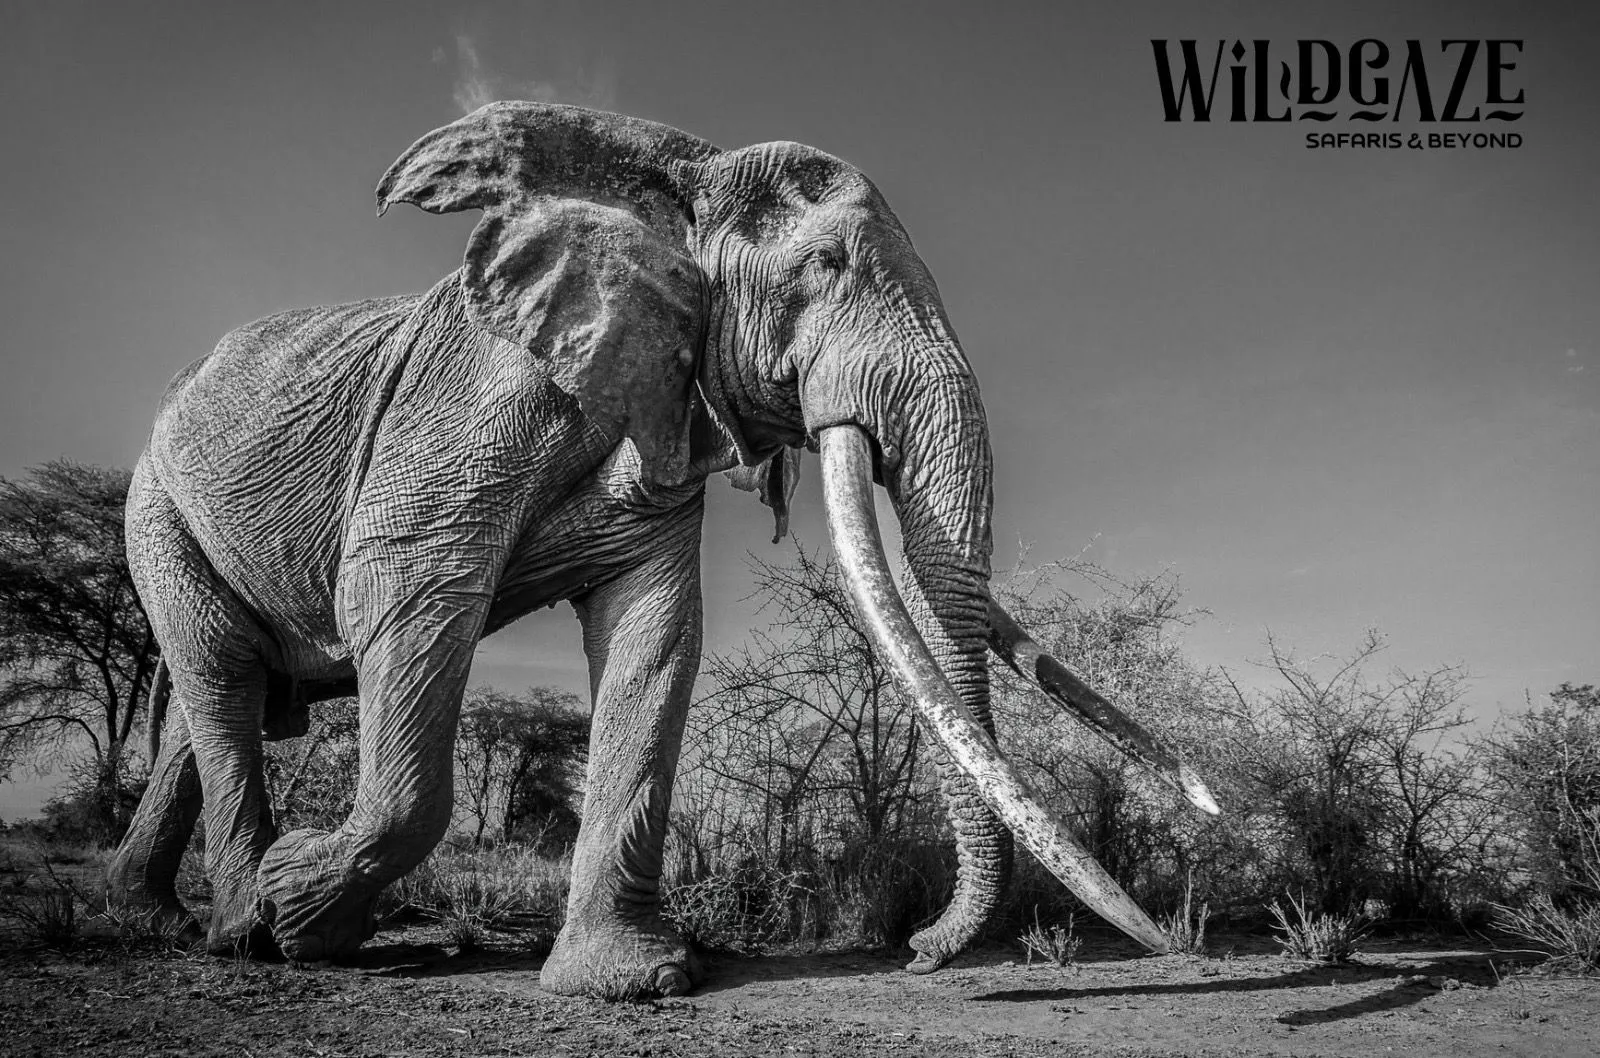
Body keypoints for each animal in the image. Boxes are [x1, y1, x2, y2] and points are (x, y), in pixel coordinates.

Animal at [105, 102, 1219, 999]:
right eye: (824, 269)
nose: (917, 952)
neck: (674, 184)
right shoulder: (463, 403)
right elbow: (408, 593)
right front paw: (302, 909)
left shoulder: (668, 408)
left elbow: (654, 628)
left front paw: (625, 984)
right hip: (154, 508)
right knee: (222, 677)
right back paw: (248, 929)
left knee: (220, 696)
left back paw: (156, 917)